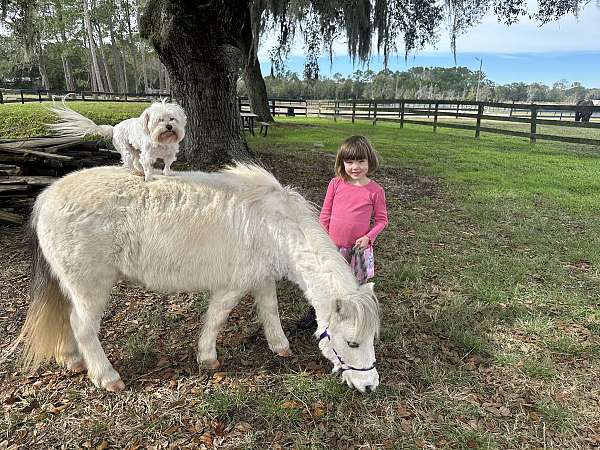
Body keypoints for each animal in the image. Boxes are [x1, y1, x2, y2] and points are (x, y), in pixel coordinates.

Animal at [5, 163, 380, 392]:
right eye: (352, 343)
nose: (370, 385)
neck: (273, 223)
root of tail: (46, 197)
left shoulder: (261, 278)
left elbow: (270, 311)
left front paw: (280, 346)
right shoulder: (231, 286)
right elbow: (216, 320)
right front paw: (207, 358)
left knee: (67, 321)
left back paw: (72, 361)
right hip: (90, 286)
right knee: (82, 327)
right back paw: (107, 377)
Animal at [48, 98, 186, 181]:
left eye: (172, 119)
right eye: (159, 120)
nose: (169, 127)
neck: (162, 141)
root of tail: (114, 128)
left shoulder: (170, 154)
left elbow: (167, 164)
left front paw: (167, 173)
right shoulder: (147, 155)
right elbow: (148, 168)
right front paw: (149, 177)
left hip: (135, 150)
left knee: (136, 163)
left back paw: (138, 171)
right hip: (127, 150)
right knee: (130, 163)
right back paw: (134, 172)